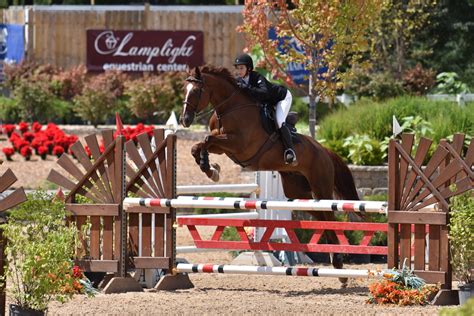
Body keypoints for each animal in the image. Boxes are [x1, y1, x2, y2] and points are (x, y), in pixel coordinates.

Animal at [181, 66, 360, 284]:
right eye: (184, 89)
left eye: (196, 91)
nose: (184, 120)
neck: (230, 107)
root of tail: (324, 149)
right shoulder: (224, 146)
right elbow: (200, 144)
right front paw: (210, 168)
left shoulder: (239, 145)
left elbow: (207, 139)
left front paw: (210, 168)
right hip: (298, 191)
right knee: (320, 217)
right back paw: (337, 264)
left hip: (321, 186)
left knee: (329, 215)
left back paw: (339, 263)